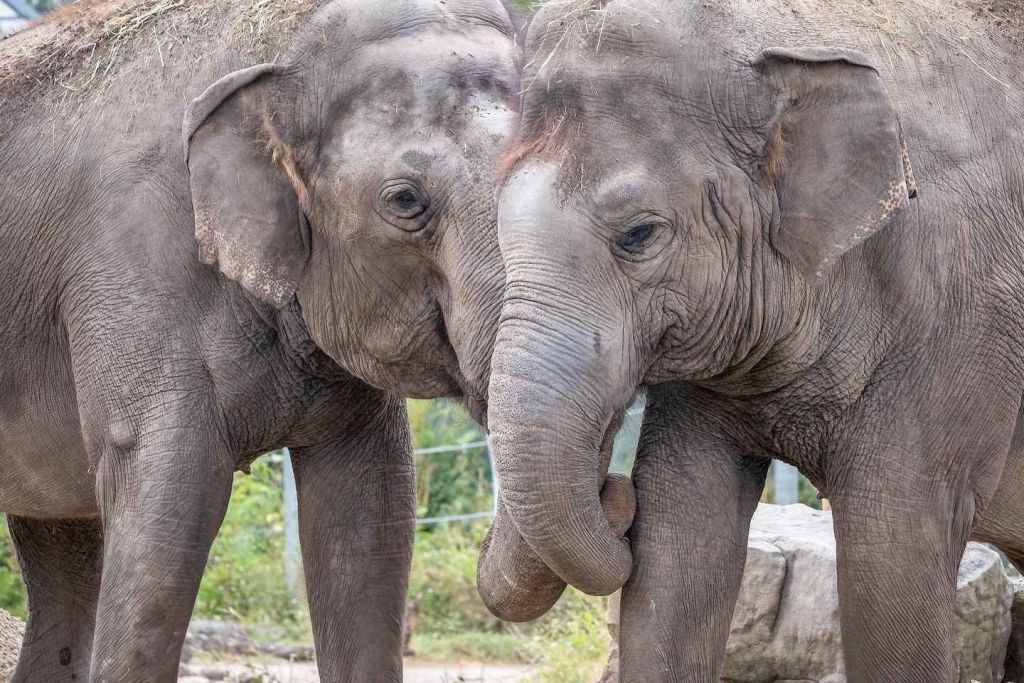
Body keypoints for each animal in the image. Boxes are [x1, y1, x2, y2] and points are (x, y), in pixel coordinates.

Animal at [477, 0, 1024, 681]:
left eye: (639, 234)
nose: (615, 490)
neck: (779, 34)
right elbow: (680, 538)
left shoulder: (959, 309)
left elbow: (893, 552)